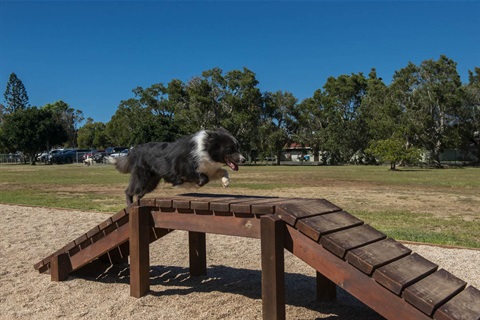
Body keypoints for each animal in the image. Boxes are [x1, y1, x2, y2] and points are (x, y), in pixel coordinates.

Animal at [111, 128, 244, 205]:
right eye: (230, 149)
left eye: (238, 148)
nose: (243, 159)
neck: (206, 150)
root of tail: (135, 150)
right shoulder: (182, 169)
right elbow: (203, 177)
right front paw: (198, 183)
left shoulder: (209, 168)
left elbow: (223, 170)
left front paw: (226, 182)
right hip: (142, 178)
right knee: (129, 190)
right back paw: (129, 204)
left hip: (152, 182)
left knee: (140, 192)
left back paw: (138, 200)